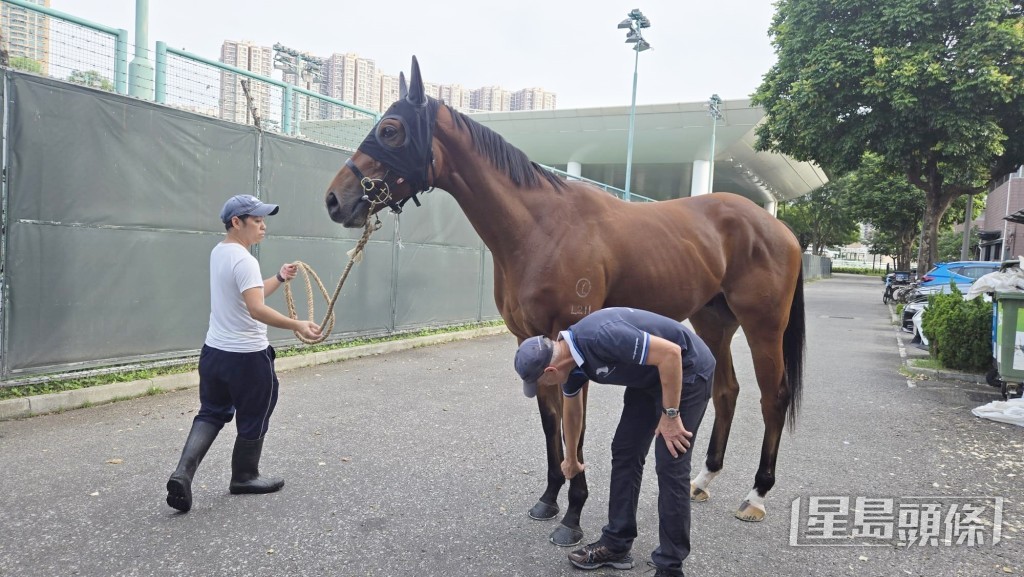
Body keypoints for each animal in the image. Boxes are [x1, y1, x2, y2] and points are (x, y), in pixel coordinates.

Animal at [324, 56, 806, 546]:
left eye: (391, 130)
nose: (334, 200)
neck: (540, 227)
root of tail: (779, 228)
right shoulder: (531, 340)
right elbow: (550, 421)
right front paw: (550, 498)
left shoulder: (572, 342)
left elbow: (577, 427)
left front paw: (574, 515)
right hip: (714, 322)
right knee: (727, 391)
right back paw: (703, 479)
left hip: (763, 326)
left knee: (773, 397)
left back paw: (756, 495)